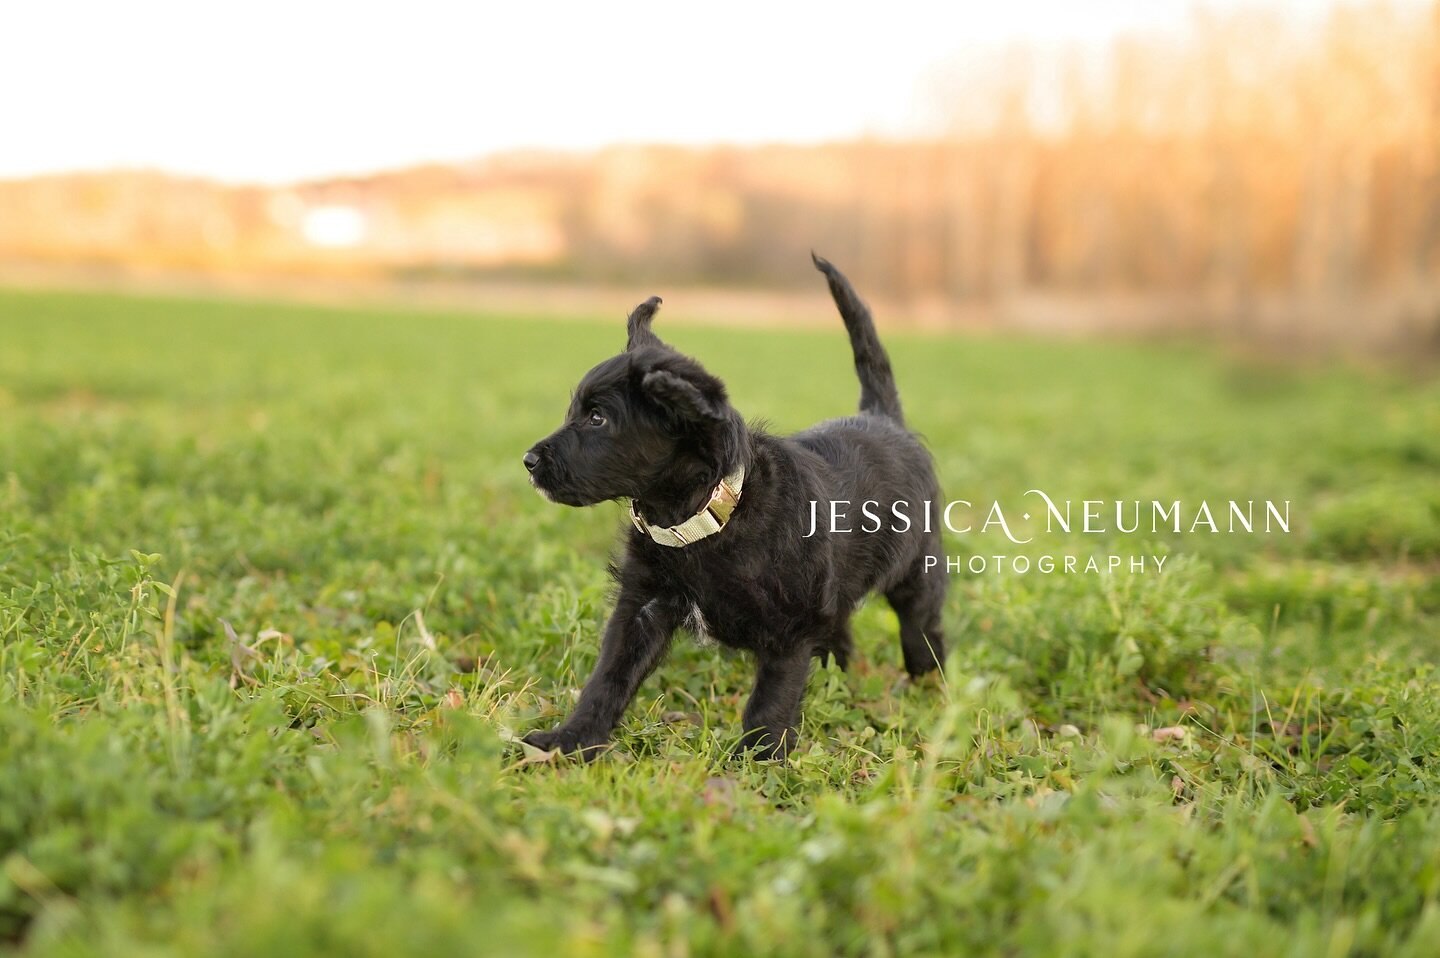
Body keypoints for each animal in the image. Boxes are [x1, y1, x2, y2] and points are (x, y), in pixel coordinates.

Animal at [524, 256, 950, 760]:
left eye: (597, 418)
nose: (529, 461)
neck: (703, 520)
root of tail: (882, 418)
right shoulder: (641, 606)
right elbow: (608, 676)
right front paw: (569, 740)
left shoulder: (791, 628)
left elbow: (770, 701)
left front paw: (758, 762)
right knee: (841, 636)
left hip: (917, 576)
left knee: (923, 635)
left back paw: (930, 691)